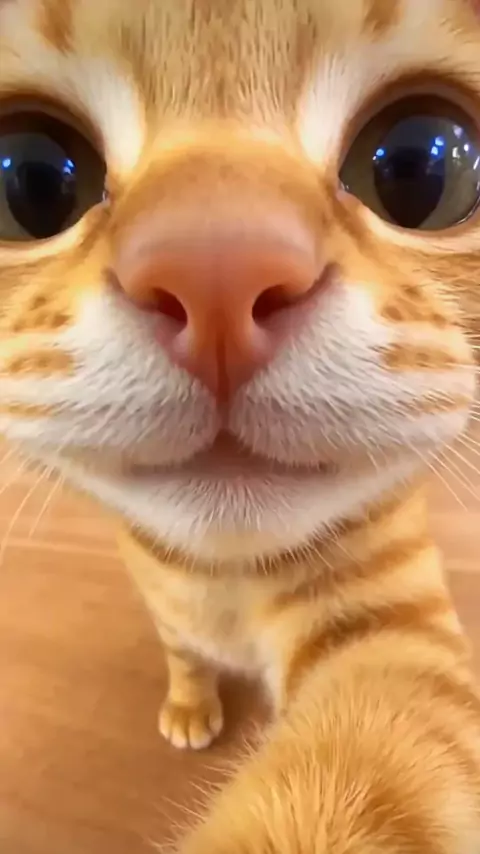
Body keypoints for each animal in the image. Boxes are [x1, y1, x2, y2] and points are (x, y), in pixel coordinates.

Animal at [1, 0, 480, 851]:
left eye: (421, 166)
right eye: (29, 177)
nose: (216, 265)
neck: (217, 581)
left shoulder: (398, 634)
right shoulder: (166, 610)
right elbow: (181, 653)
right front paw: (190, 700)